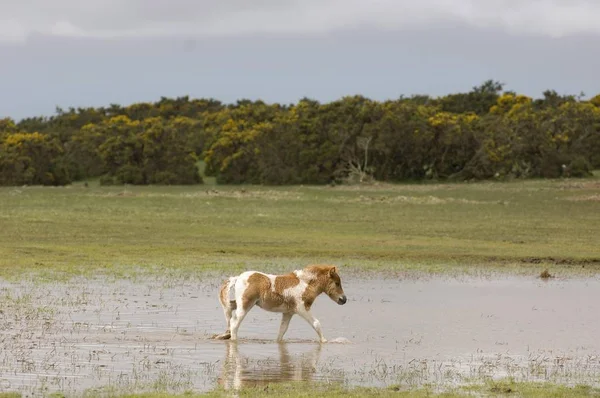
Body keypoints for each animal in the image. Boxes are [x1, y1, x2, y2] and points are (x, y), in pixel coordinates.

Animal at [214, 264, 346, 342]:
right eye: (337, 283)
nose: (343, 299)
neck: (304, 284)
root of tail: (238, 277)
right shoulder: (302, 308)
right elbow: (316, 323)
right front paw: (325, 341)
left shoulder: (288, 313)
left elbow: (282, 329)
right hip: (245, 305)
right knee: (234, 322)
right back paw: (233, 339)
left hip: (243, 303)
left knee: (229, 308)